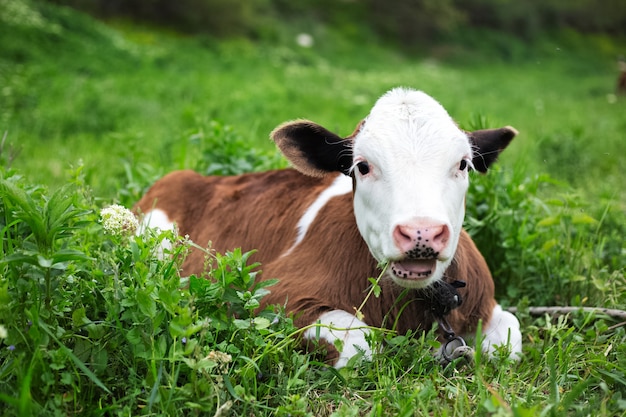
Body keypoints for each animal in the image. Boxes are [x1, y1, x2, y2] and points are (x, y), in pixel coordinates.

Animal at [136, 88, 520, 368]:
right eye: (362, 166)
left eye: (463, 164)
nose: (420, 232)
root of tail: (187, 176)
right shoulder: (272, 297)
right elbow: (360, 346)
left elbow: (510, 339)